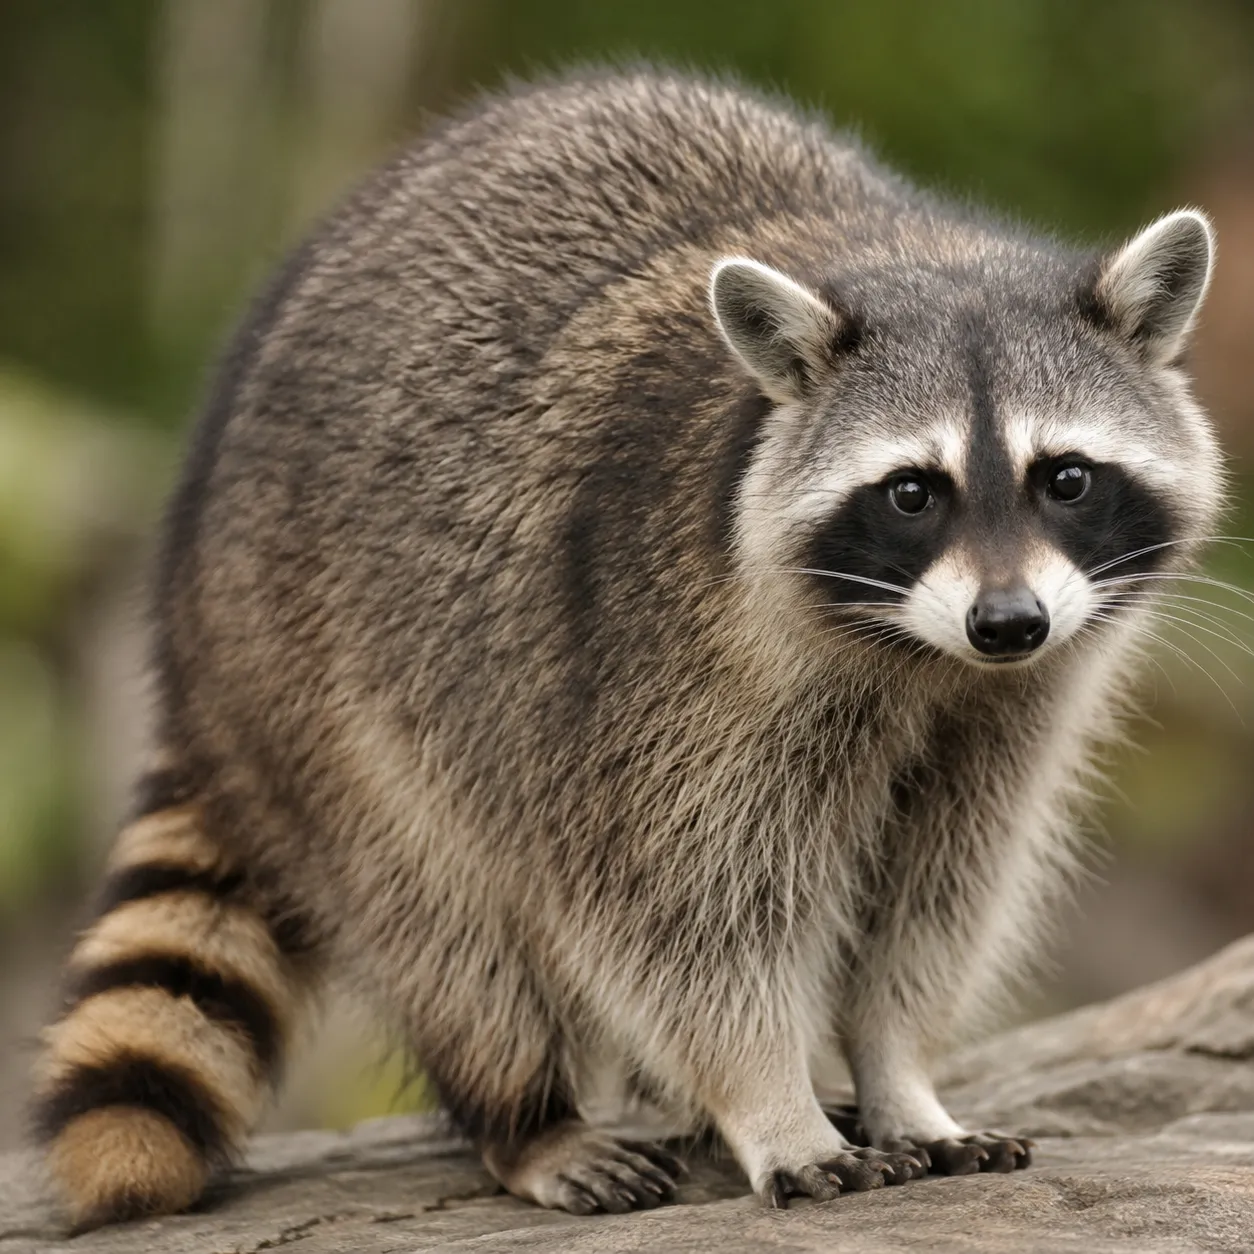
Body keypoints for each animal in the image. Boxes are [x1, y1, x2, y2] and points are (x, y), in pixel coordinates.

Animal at [33, 68, 1222, 1227]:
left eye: (1064, 477)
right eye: (912, 493)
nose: (1008, 623)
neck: (921, 659)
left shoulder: (1012, 711)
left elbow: (936, 891)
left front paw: (899, 1075)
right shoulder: (649, 672)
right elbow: (680, 913)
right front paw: (767, 1102)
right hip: (319, 692)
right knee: (445, 927)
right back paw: (526, 1118)